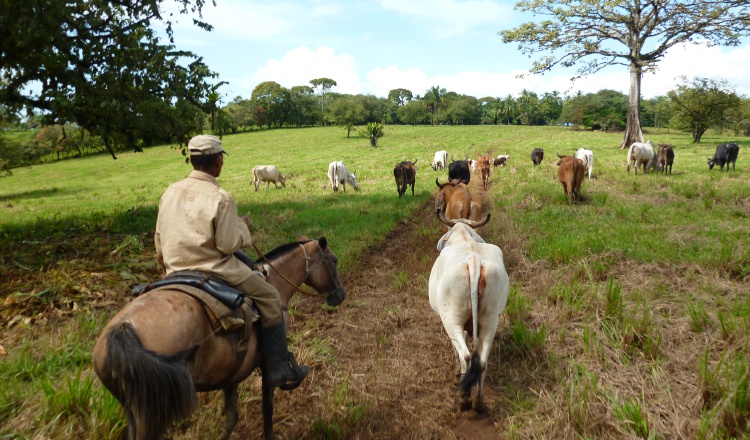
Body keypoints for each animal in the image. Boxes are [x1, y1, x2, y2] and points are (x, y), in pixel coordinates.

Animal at [93, 237, 346, 440]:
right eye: (334, 260)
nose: (341, 295)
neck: (274, 280)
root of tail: (123, 331)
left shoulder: (231, 371)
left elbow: (232, 415)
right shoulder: (267, 365)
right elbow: (267, 408)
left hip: (134, 409)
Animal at [428, 213, 512, 412]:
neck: (464, 238)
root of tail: (474, 261)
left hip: (451, 320)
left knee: (465, 355)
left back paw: (464, 399)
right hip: (490, 321)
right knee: (481, 362)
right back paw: (479, 402)